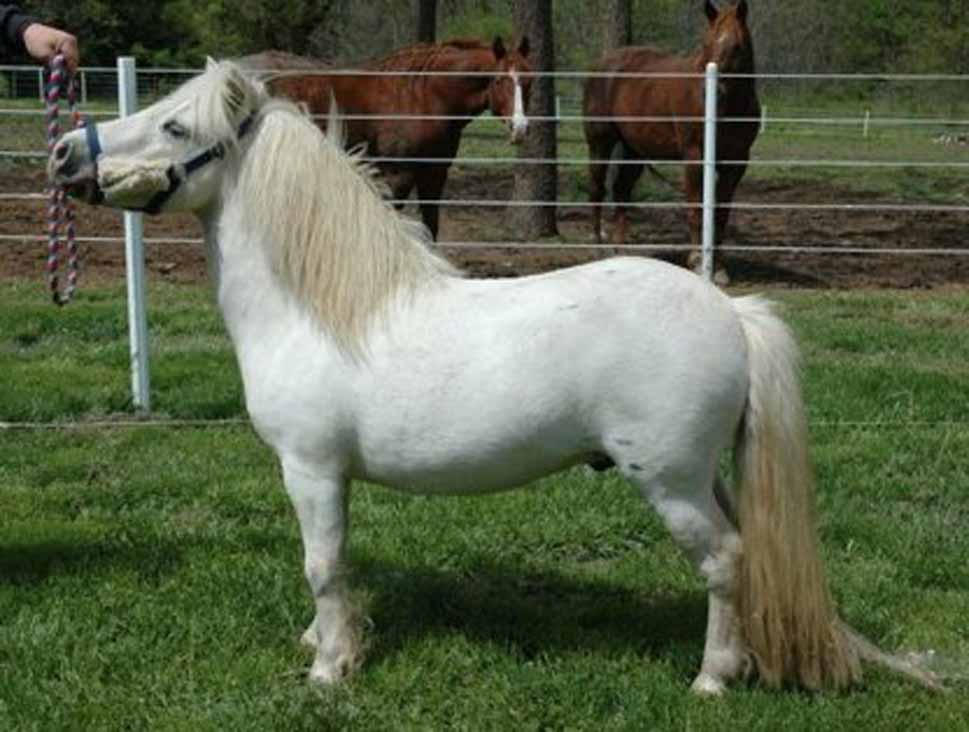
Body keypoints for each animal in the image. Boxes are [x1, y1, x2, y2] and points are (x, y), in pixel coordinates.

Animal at [48, 59, 940, 694]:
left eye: (173, 124)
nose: (62, 152)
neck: (321, 309)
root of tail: (730, 311)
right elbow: (334, 567)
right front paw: (325, 642)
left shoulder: (310, 468)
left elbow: (322, 566)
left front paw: (328, 670)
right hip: (705, 474)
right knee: (746, 556)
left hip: (671, 481)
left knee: (723, 561)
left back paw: (712, 680)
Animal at [244, 36, 532, 240]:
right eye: (499, 81)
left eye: (529, 80)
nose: (520, 128)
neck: (424, 97)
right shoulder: (398, 175)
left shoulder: (434, 174)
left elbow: (431, 228)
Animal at [583, 0, 760, 275]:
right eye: (706, 44)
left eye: (737, 47)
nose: (713, 91)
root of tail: (603, 64)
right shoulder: (694, 157)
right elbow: (696, 208)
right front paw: (696, 260)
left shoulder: (736, 163)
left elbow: (721, 214)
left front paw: (719, 268)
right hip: (600, 143)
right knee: (596, 189)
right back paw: (598, 249)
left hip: (636, 151)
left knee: (621, 190)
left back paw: (622, 252)